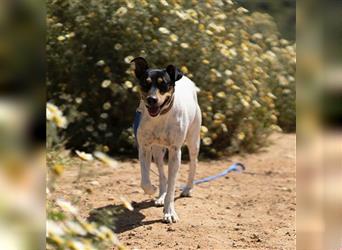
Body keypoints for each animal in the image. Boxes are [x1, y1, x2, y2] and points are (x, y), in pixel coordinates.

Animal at [130, 57, 200, 224]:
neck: (160, 117)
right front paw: (153, 190)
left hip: (193, 141)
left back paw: (188, 189)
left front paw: (169, 212)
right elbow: (145, 180)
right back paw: (161, 195)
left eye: (164, 84)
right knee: (162, 174)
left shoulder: (175, 151)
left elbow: (172, 185)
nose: (152, 99)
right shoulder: (144, 148)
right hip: (158, 151)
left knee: (193, 163)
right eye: (145, 83)